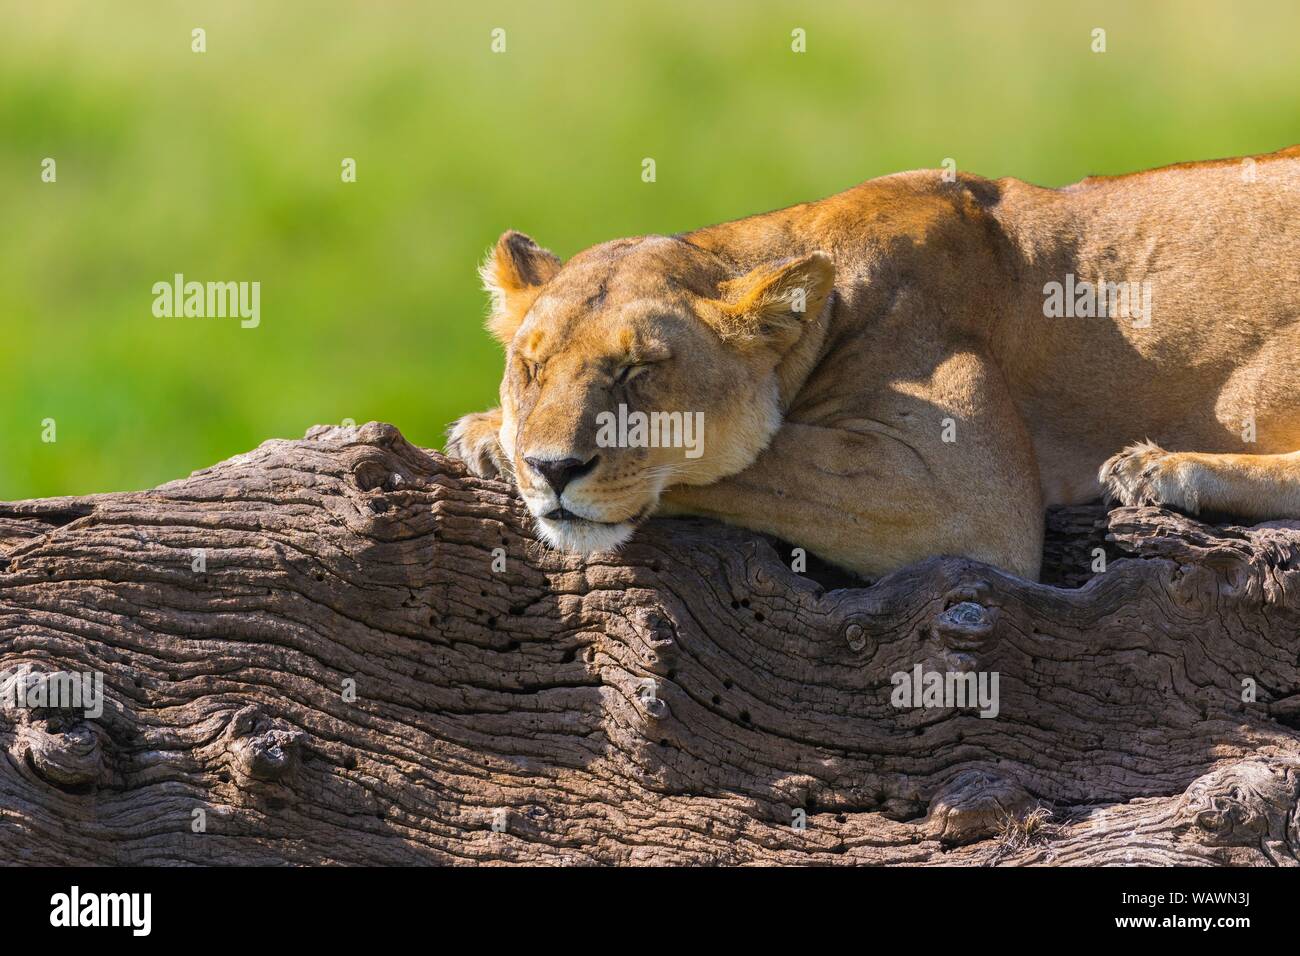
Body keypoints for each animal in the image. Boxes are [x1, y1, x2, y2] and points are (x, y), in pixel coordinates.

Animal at [447, 146, 1300, 582]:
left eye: (638, 370)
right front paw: (489, 433)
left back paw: (1164, 468)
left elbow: (762, 460)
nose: (554, 469)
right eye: (530, 369)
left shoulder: (965, 489)